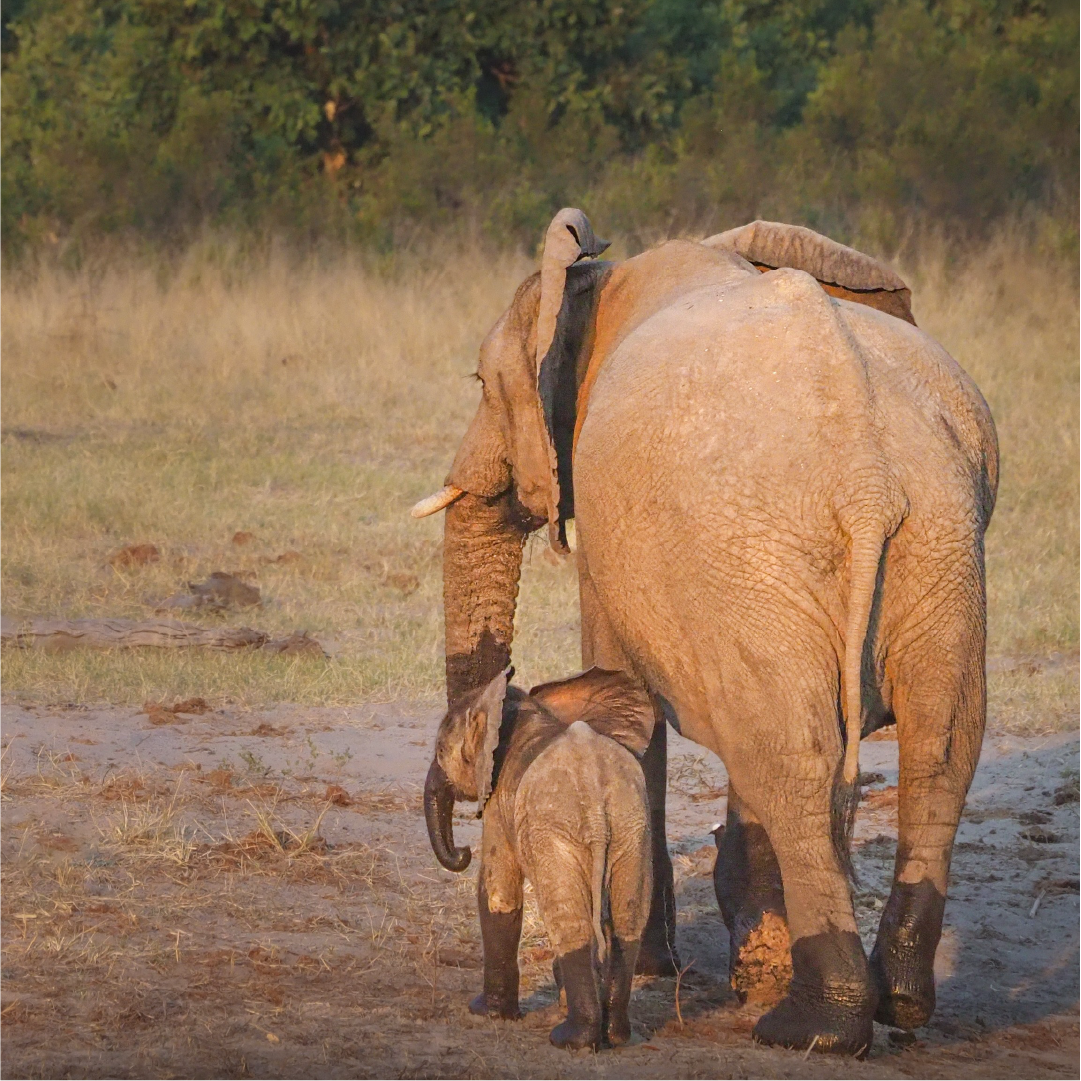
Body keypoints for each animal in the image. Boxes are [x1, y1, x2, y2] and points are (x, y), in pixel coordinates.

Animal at [425, 665, 652, 1046]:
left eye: (441, 748)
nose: (463, 852)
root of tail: (597, 804)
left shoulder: (498, 799)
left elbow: (498, 894)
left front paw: (486, 1013)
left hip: (556, 834)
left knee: (571, 923)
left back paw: (571, 1039)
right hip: (632, 829)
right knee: (627, 920)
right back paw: (616, 1035)